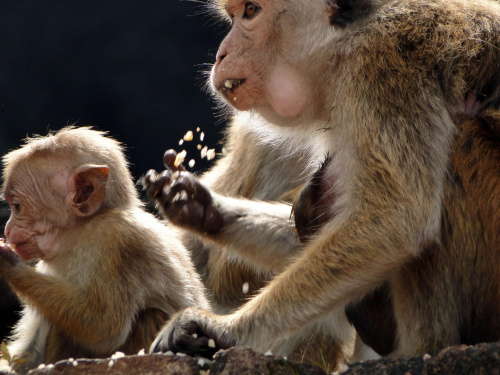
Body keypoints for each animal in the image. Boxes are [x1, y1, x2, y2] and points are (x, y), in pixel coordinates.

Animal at [0, 127, 209, 374]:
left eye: (17, 207)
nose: (8, 229)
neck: (80, 234)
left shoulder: (120, 241)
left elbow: (104, 326)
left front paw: (9, 263)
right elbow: (27, 355)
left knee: (147, 316)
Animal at [145, 0, 500, 368]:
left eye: (251, 12)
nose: (221, 54)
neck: (344, 44)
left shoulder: (381, 69)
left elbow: (398, 219)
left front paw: (226, 330)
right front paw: (201, 207)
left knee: (459, 141)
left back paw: (422, 348)